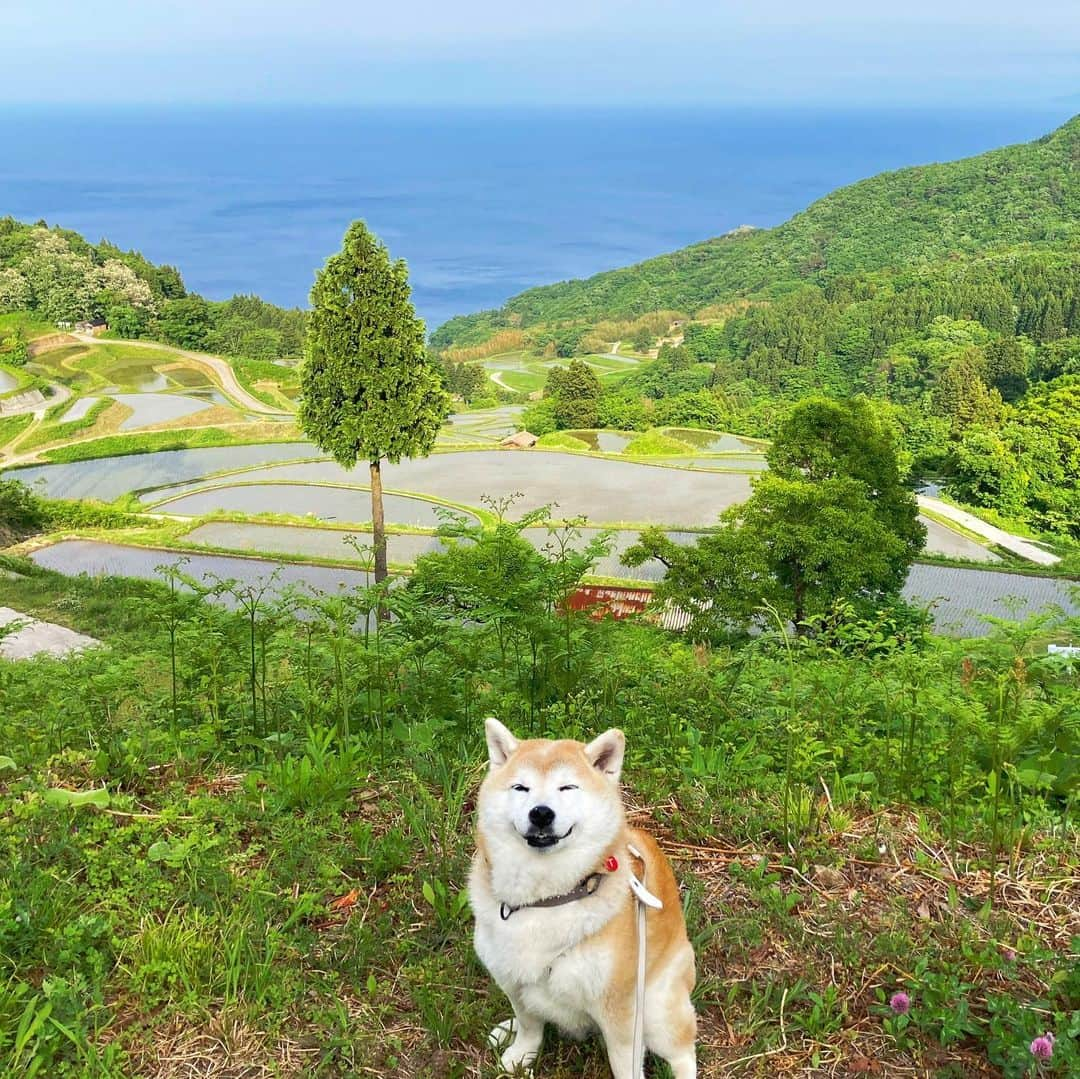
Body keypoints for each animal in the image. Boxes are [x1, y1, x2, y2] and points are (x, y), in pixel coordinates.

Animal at [470, 721, 691, 1075]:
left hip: (658, 1010)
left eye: (567, 788)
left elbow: (625, 1065)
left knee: (684, 1053)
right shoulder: (512, 981)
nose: (541, 813)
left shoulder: (621, 1010)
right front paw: (521, 1054)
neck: (548, 899)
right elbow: (529, 1025)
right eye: (521, 788)